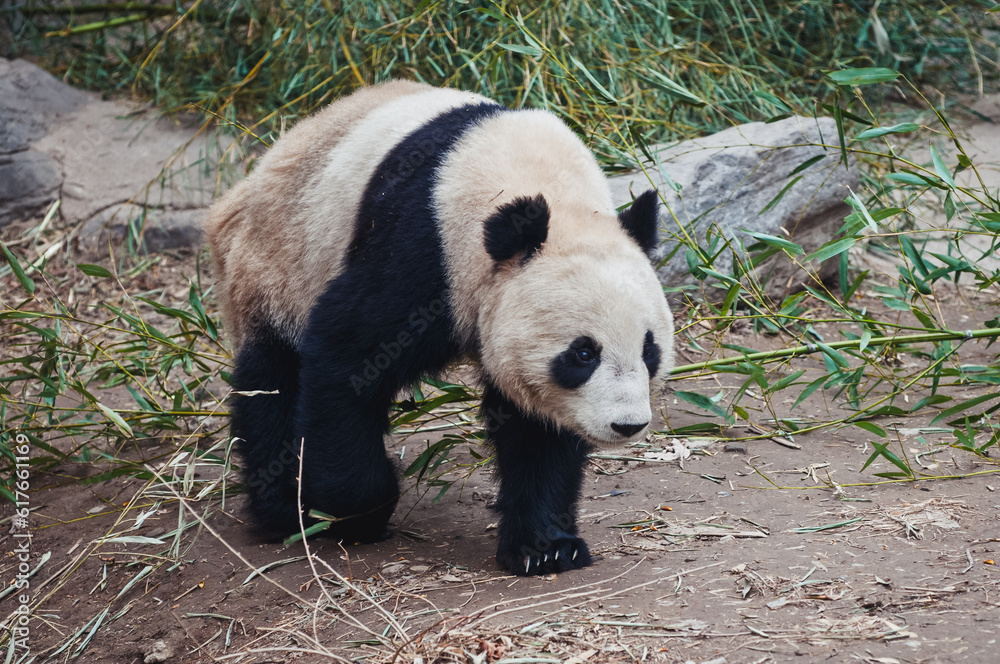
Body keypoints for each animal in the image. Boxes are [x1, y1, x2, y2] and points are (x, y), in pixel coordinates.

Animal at [206, 80, 674, 576]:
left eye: (649, 351)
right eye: (583, 354)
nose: (627, 424)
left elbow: (538, 429)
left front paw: (546, 547)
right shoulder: (422, 251)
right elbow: (345, 357)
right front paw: (355, 512)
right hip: (276, 269)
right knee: (270, 385)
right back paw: (282, 511)